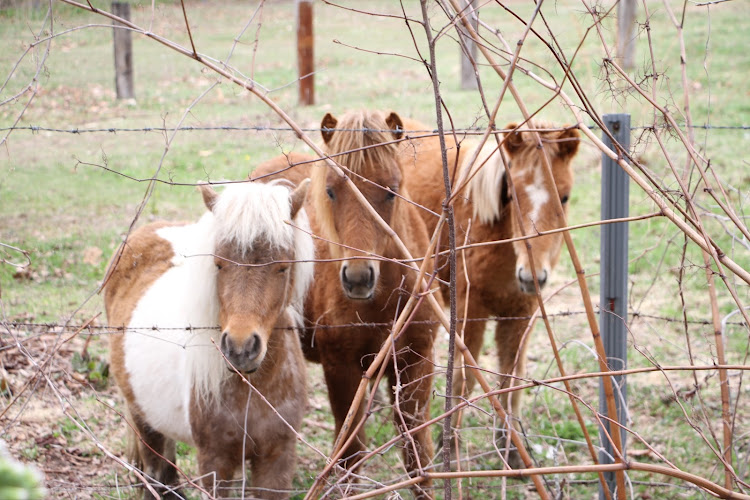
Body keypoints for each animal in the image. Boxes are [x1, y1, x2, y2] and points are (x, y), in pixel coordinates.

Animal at [103, 179, 314, 496]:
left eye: (283, 266)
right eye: (218, 265)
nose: (240, 349)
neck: (253, 388)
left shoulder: (277, 458)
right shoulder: (215, 462)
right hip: (144, 421)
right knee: (154, 472)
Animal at [254, 110, 440, 500]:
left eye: (391, 190)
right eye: (330, 191)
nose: (357, 278)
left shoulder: (417, 361)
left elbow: (418, 453)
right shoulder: (340, 369)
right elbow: (351, 457)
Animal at [400, 119, 580, 466]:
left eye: (565, 197)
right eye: (513, 194)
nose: (532, 276)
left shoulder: (522, 314)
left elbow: (511, 376)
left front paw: (512, 451)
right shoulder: (470, 312)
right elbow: (464, 378)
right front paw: (450, 448)